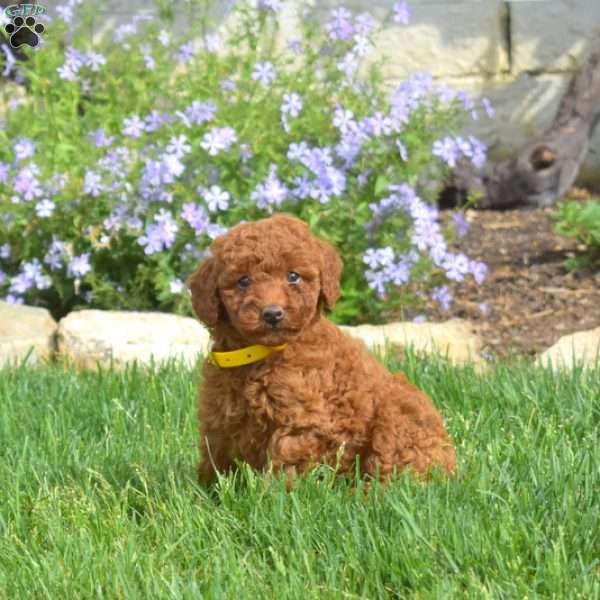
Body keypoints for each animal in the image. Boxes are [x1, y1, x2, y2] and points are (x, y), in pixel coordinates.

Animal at [188, 213, 454, 486]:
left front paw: (274, 494)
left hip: (398, 417)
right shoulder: (220, 413)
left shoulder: (300, 420)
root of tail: (449, 462)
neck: (261, 354)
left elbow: (285, 463)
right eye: (243, 281)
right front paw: (206, 489)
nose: (272, 314)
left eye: (293, 276)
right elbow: (215, 454)